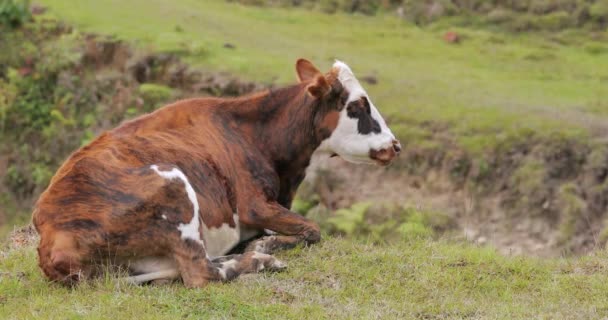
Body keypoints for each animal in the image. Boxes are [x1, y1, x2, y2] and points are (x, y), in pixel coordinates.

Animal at [34, 59, 404, 288]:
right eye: (357, 106)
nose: (396, 145)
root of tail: (51, 236)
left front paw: (264, 240)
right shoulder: (255, 204)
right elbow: (313, 229)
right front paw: (267, 242)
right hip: (174, 187)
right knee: (202, 273)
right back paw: (260, 259)